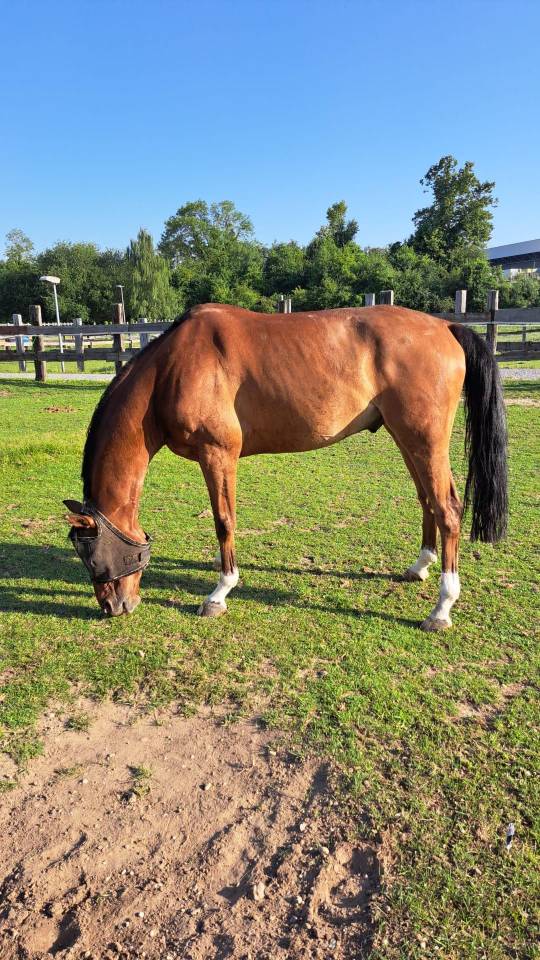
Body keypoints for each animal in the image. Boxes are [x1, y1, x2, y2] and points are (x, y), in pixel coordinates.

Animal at [64, 303, 508, 630]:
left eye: (91, 554)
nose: (113, 606)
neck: (171, 369)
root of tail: (445, 326)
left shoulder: (217, 455)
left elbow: (224, 521)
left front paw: (220, 593)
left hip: (424, 440)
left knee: (448, 508)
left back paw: (442, 608)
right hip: (406, 438)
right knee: (427, 499)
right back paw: (420, 566)